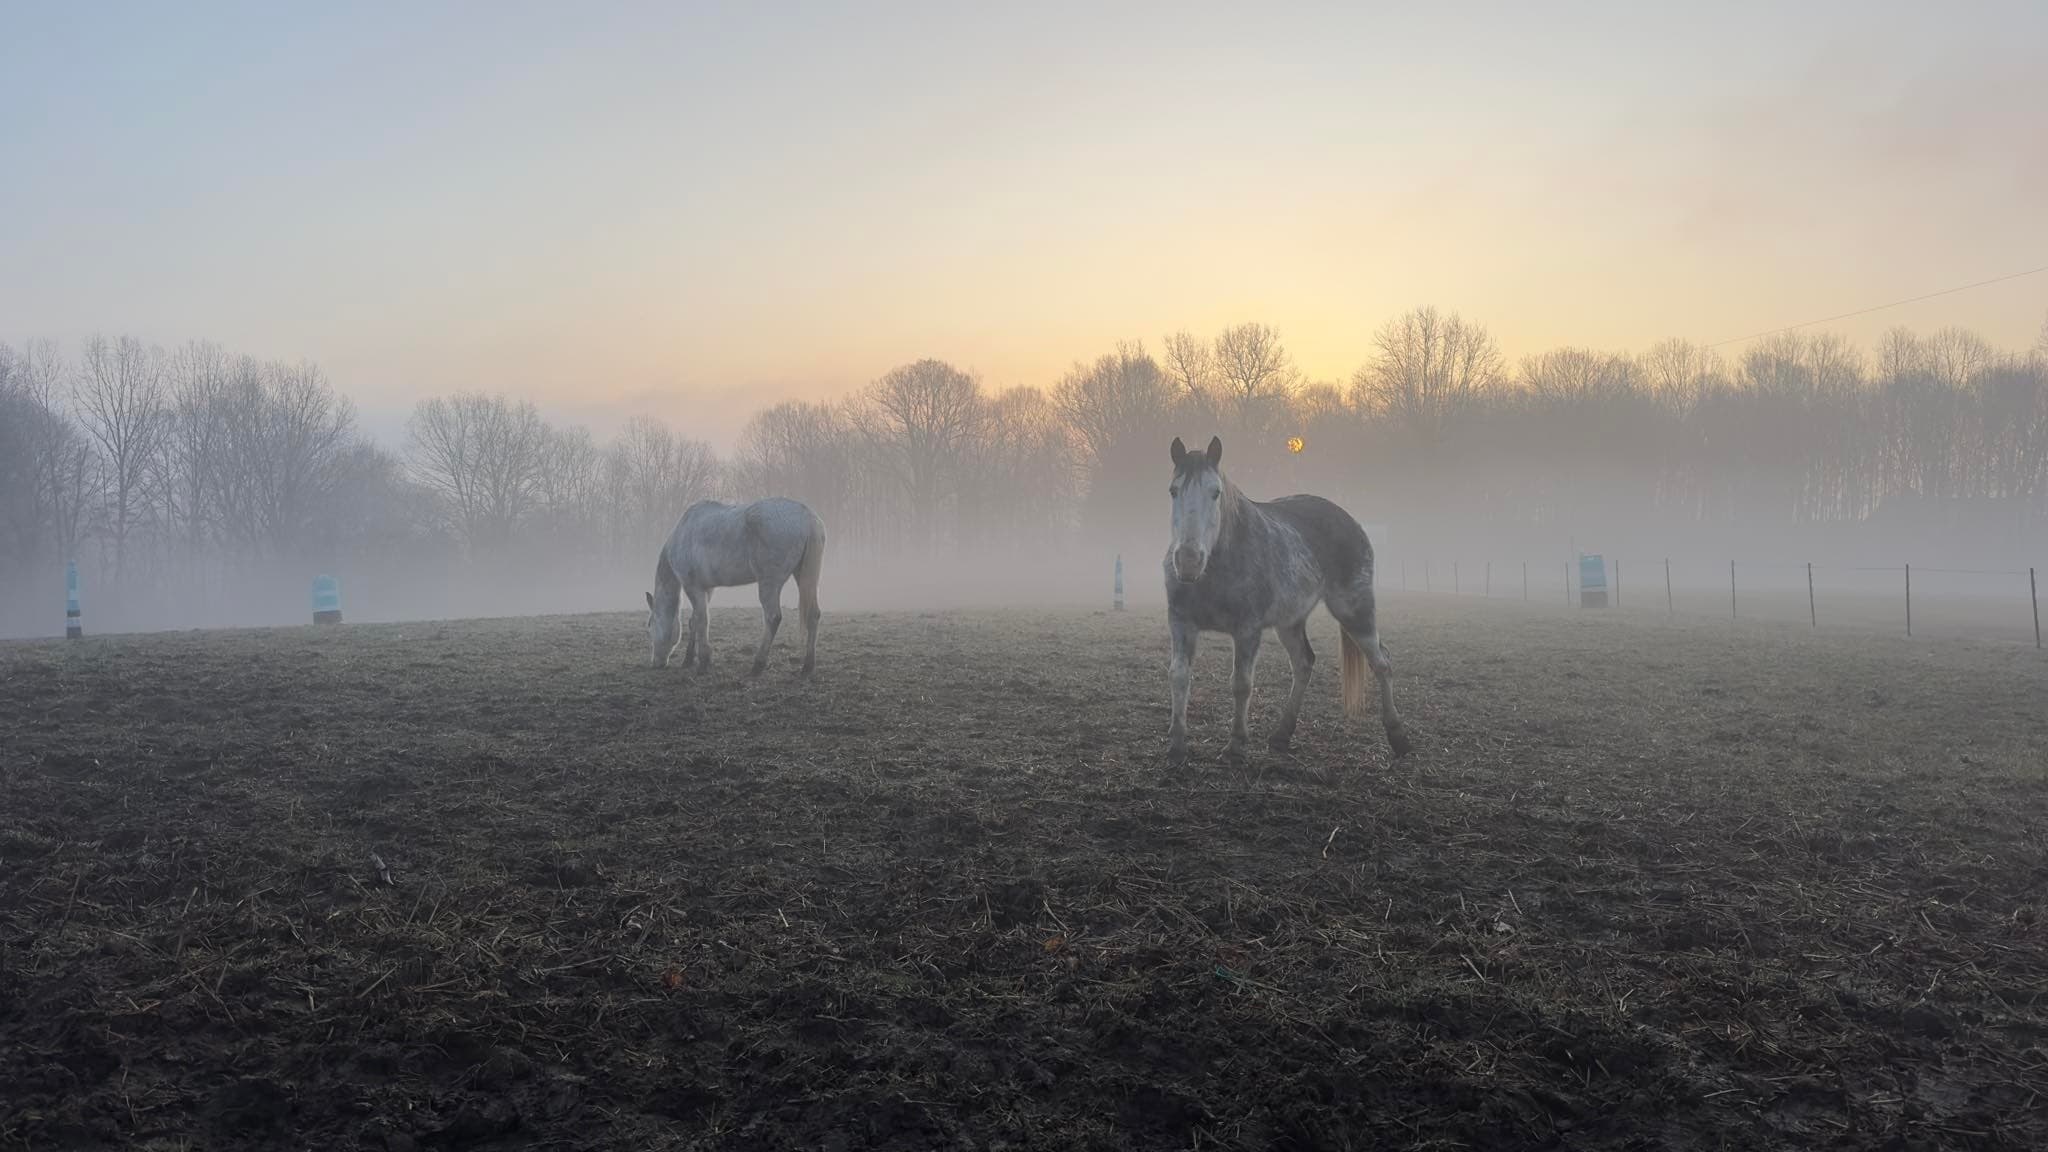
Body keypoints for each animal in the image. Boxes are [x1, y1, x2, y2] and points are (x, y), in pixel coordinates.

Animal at [646, 497, 826, 676]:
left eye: (651, 625)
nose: (655, 663)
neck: (682, 534)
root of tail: (808, 518)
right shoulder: (707, 589)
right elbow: (695, 620)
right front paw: (688, 660)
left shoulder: (693, 587)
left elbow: (702, 620)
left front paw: (703, 662)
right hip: (803, 577)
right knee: (813, 614)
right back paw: (808, 665)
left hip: (770, 584)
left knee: (773, 617)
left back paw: (758, 665)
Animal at [1163, 435, 1412, 764]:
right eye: (1173, 490)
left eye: (1215, 493)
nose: (1188, 561)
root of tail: (1351, 522)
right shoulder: (1181, 624)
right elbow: (1179, 676)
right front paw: (1177, 745)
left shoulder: (1247, 630)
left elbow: (1241, 684)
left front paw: (1236, 745)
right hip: (1290, 622)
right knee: (1304, 663)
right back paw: (1282, 734)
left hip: (1355, 611)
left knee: (1382, 663)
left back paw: (1398, 737)